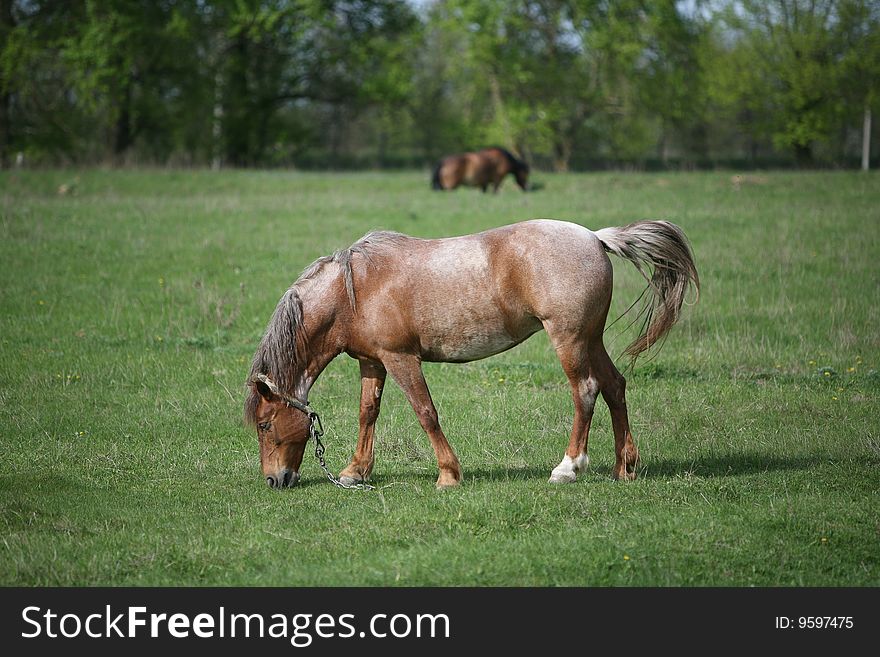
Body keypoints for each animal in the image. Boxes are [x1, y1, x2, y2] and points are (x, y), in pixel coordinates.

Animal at [244, 219, 696, 486]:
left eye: (264, 425)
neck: (353, 290)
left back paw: (568, 467)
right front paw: (355, 471)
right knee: (614, 386)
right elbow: (367, 413)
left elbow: (425, 412)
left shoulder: (401, 359)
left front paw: (448, 474)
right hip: (591, 338)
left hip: (568, 339)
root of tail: (595, 237)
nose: (274, 480)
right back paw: (624, 468)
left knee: (585, 391)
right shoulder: (373, 362)